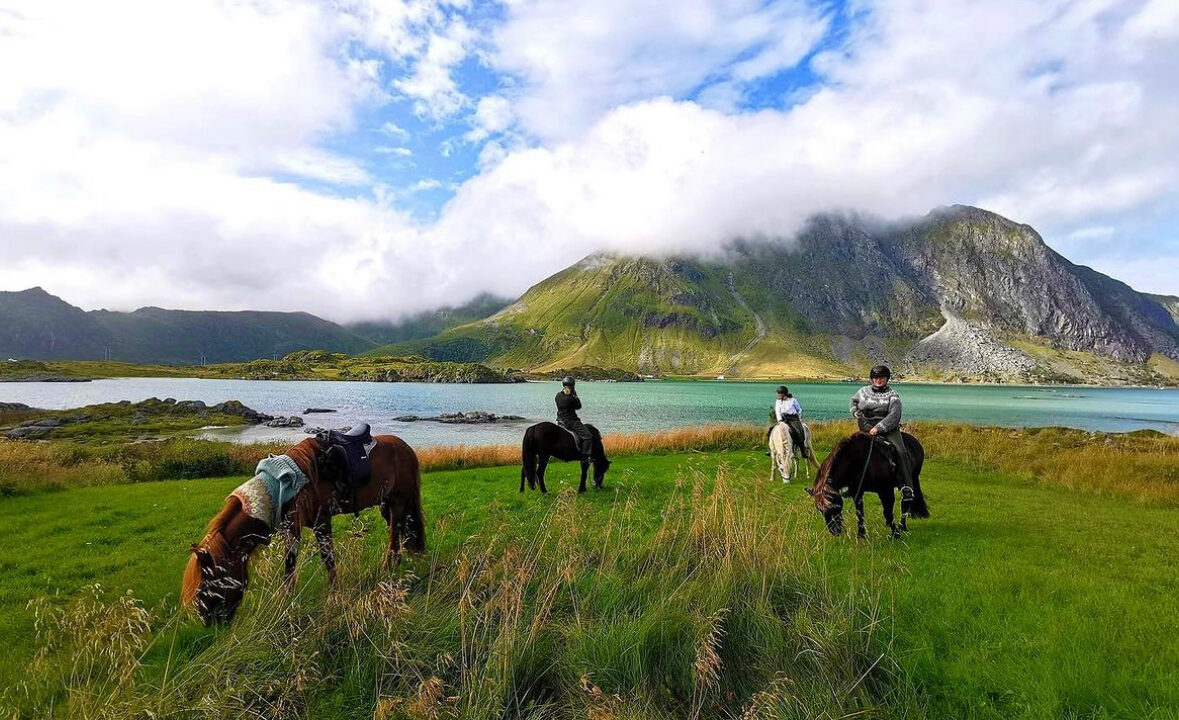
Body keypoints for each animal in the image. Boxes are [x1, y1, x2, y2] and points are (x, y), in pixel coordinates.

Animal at [182, 435, 425, 625]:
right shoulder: (292, 528)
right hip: (387, 505)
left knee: (394, 535)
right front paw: (286, 599)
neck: (281, 490)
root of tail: (407, 448)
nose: (208, 622)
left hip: (397, 502)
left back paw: (388, 566)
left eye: (206, 587)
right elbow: (290, 564)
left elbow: (326, 560)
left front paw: (333, 596)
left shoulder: (321, 522)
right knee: (398, 533)